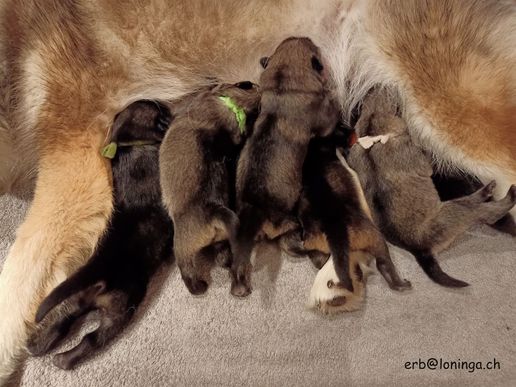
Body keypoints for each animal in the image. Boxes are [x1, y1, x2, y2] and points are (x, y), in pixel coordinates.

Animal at [27, 101, 173, 372]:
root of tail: (100, 268)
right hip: (121, 309)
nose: (169, 109)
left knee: (66, 317)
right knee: (92, 339)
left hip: (80, 297)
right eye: (159, 112)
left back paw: (39, 345)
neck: (126, 146)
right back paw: (65, 359)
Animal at [159, 81, 260, 294]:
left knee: (187, 269)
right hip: (222, 238)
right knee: (224, 257)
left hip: (182, 247)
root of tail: (213, 210)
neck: (233, 105)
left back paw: (198, 287)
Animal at [346, 88, 516, 288]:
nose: (374, 87)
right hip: (452, 212)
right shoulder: (418, 158)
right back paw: (502, 193)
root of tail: (419, 250)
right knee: (484, 210)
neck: (374, 136)